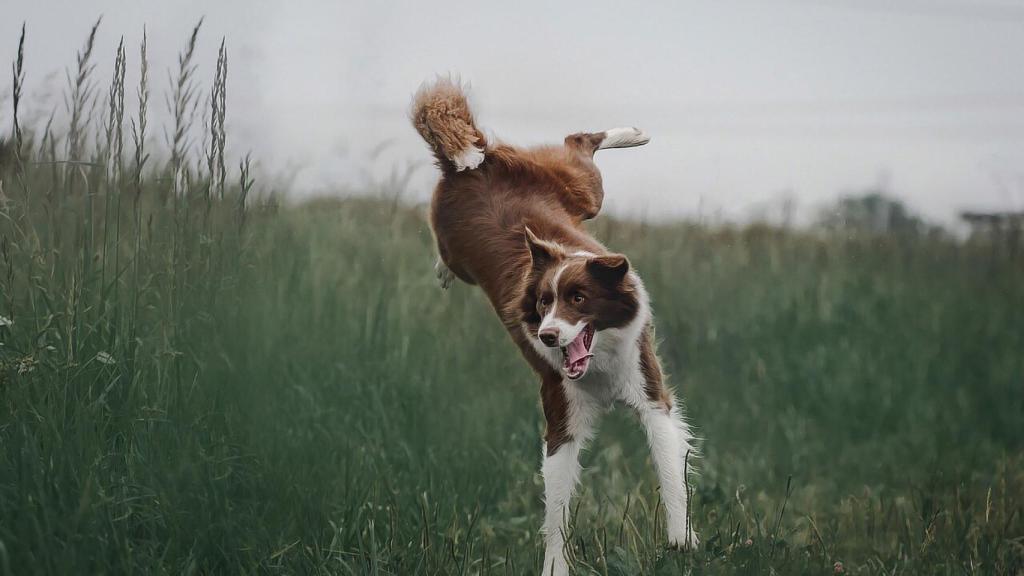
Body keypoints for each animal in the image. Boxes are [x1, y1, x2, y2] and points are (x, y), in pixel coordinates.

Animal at [411, 78, 700, 569]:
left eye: (578, 299)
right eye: (544, 302)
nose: (547, 334)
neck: (600, 362)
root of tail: (471, 165)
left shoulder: (650, 393)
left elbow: (670, 471)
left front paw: (681, 541)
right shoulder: (560, 412)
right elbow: (557, 506)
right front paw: (554, 566)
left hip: (582, 191)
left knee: (578, 144)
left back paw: (632, 133)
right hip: (475, 233)